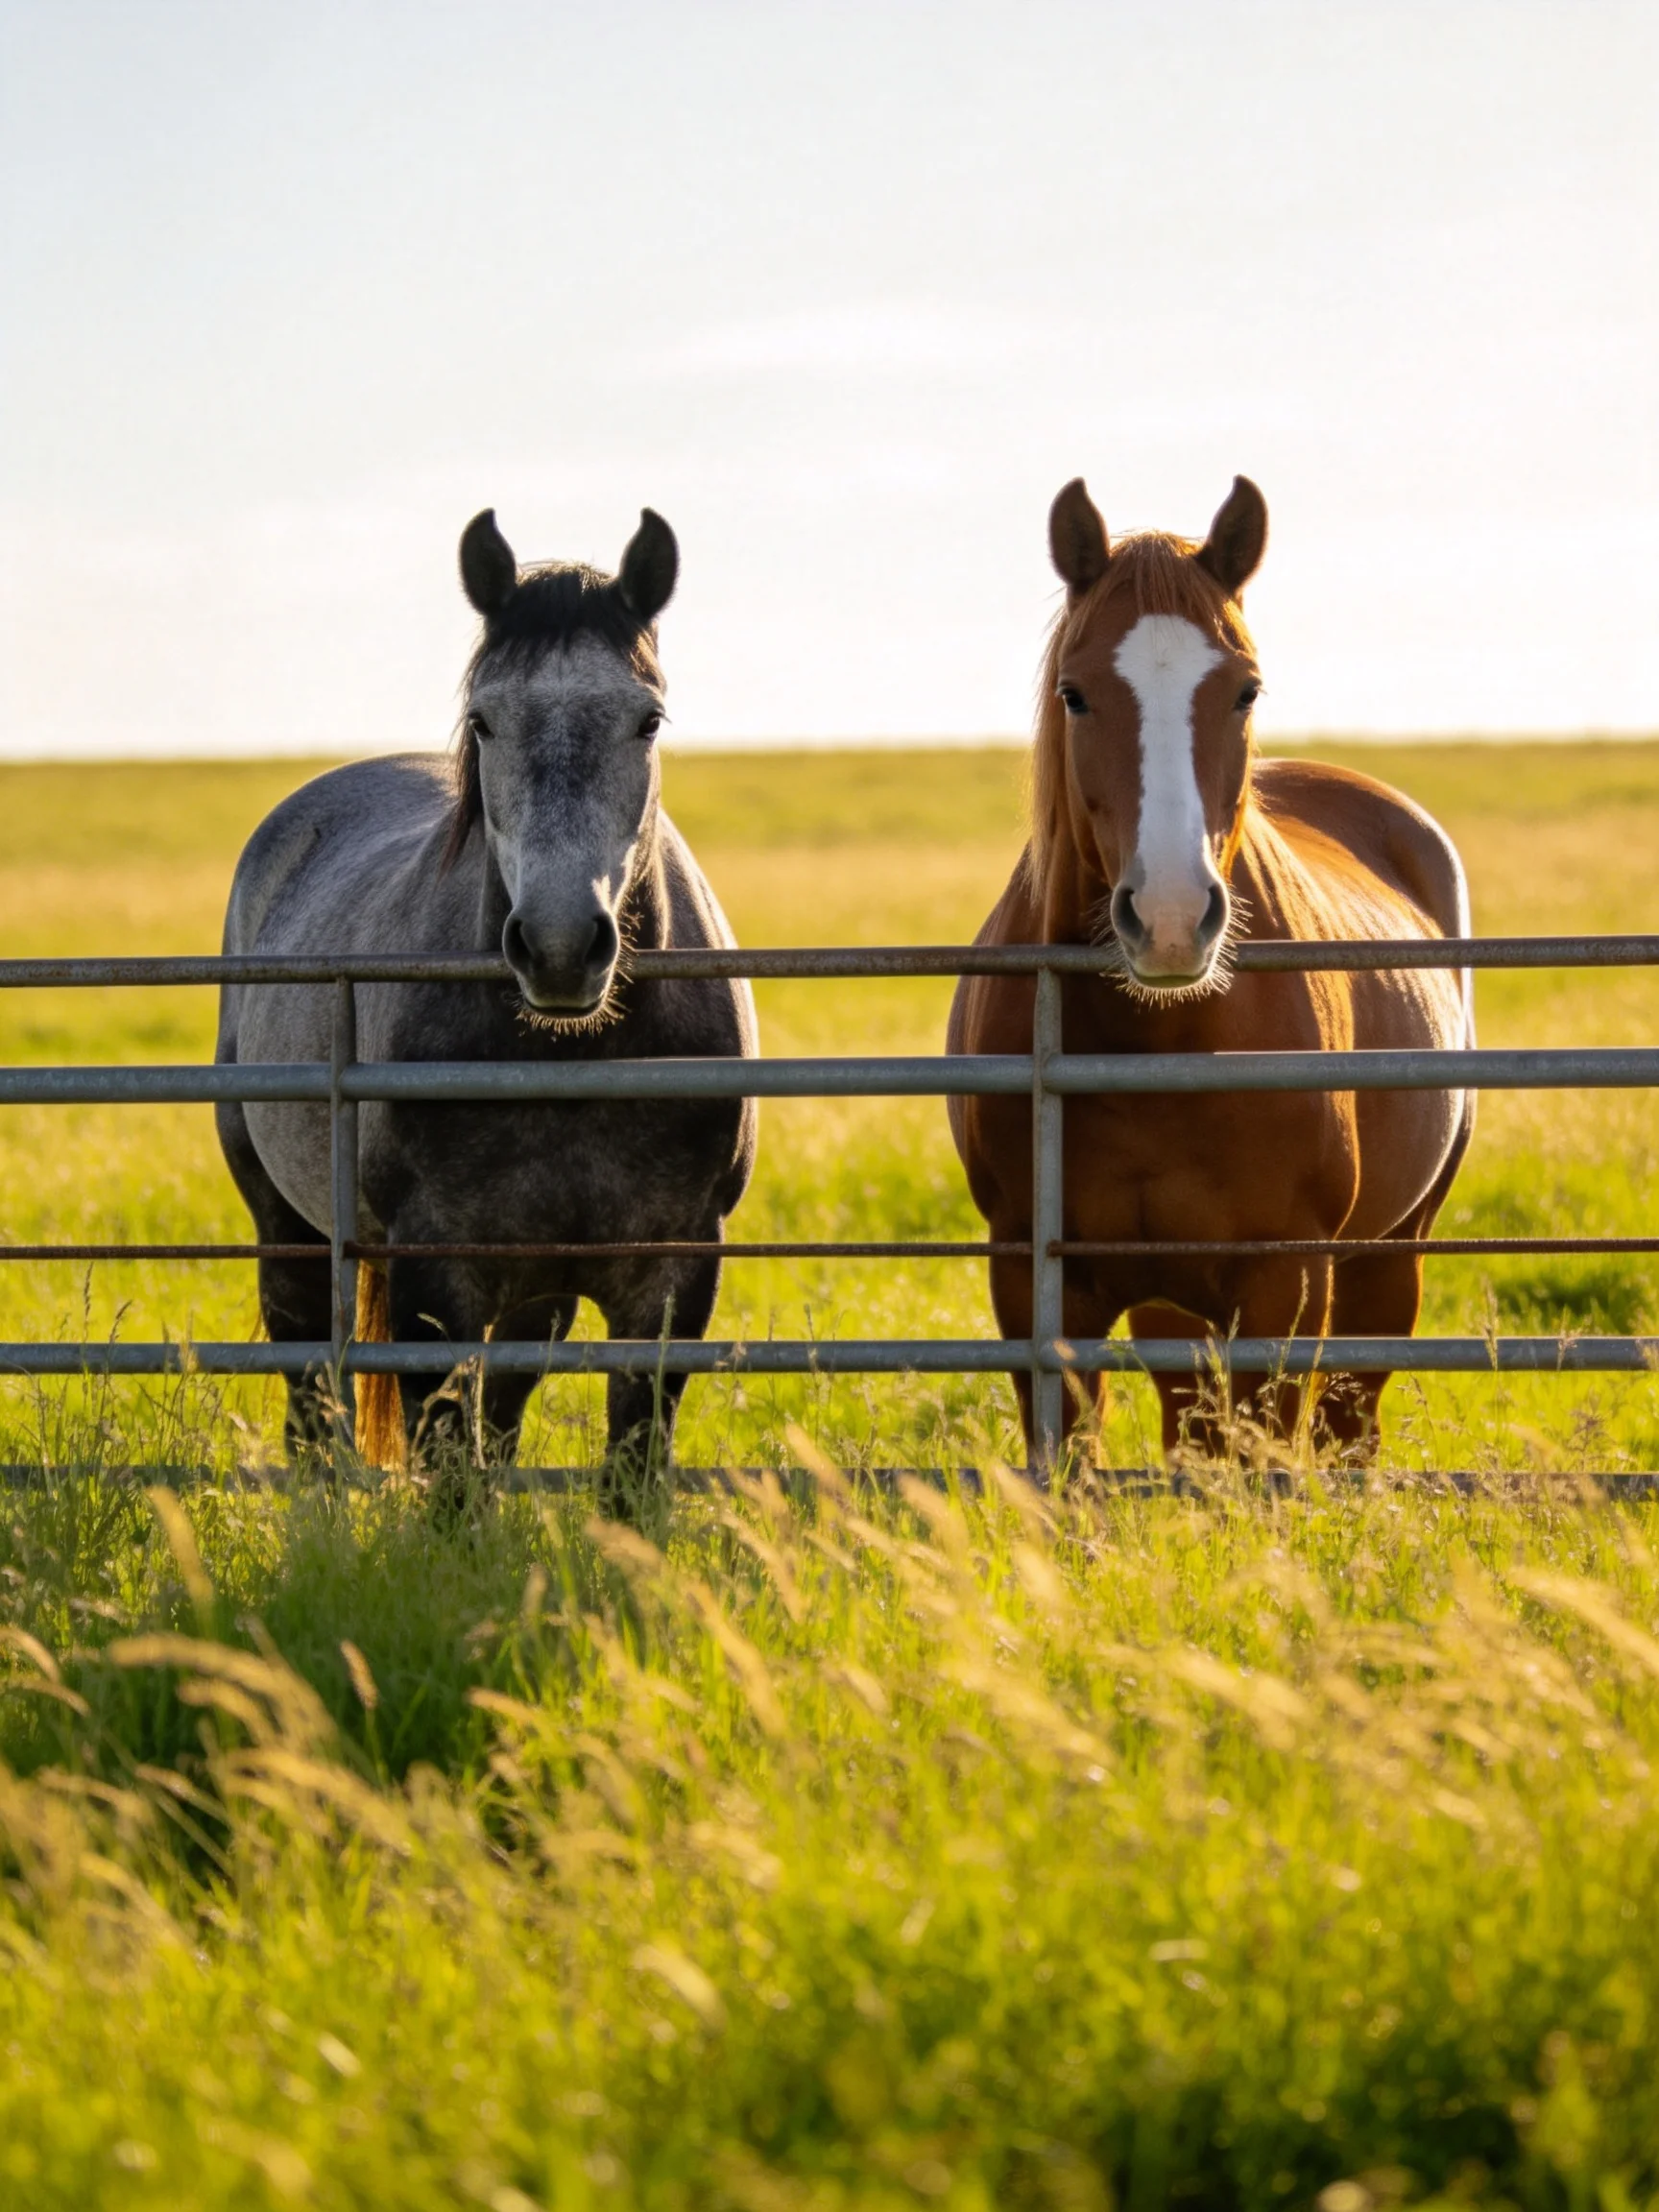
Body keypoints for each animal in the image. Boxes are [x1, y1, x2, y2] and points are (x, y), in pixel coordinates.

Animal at [215, 506, 758, 1499]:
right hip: (289, 1227)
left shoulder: (672, 1274)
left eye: (648, 720)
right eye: (484, 720)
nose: (559, 945)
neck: (577, 1055)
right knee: (312, 1390)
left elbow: (627, 1461)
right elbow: (447, 1465)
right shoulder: (437, 1277)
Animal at [947, 474, 1473, 1465]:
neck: (1159, 1042)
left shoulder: (1286, 1283)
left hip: (1390, 1260)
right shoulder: (1035, 1284)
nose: (1168, 919)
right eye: (1075, 694)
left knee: (1349, 1425)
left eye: (1244, 690)